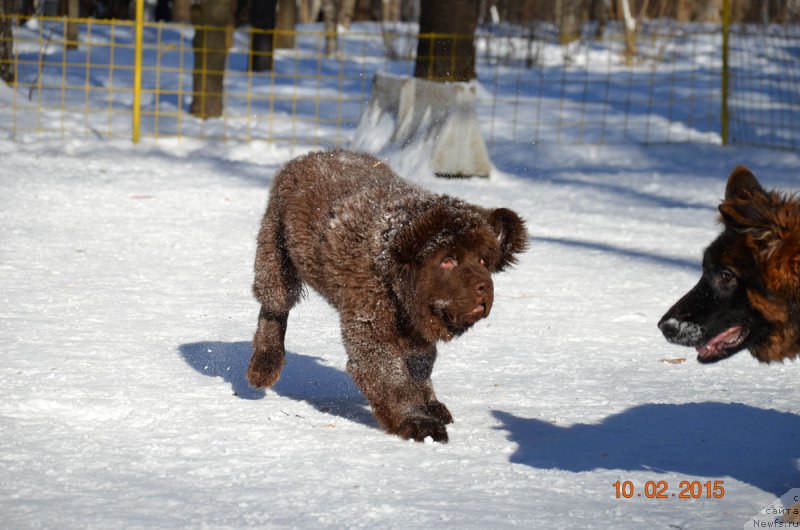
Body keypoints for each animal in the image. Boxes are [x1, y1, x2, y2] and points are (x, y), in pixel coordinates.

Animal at [247, 150, 528, 442]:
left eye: (484, 260)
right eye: (447, 260)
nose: (484, 286)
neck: (390, 259)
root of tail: (304, 158)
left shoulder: (415, 328)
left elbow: (420, 367)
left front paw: (430, 405)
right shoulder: (370, 319)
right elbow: (391, 375)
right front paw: (416, 421)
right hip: (275, 253)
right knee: (275, 307)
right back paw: (264, 366)